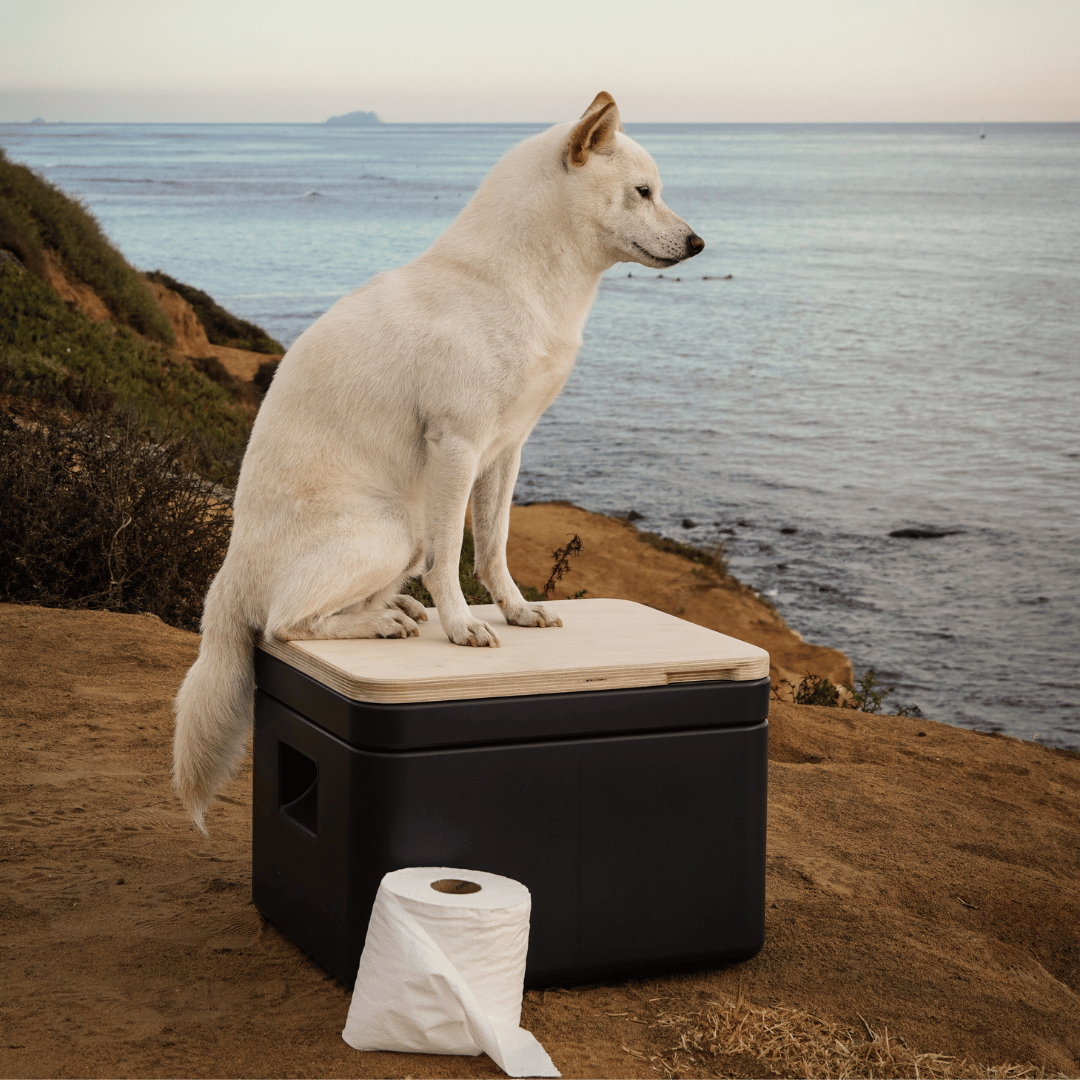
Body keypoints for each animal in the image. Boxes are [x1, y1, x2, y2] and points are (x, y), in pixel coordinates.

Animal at [173, 95, 704, 833]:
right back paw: (381, 621)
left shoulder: (506, 451)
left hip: (403, 529)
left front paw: (515, 611)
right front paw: (461, 625)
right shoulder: (457, 446)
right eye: (643, 192)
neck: (517, 282)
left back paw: (392, 605)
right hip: (397, 530)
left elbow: (494, 548)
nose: (699, 244)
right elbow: (454, 555)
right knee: (284, 624)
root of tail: (228, 573)